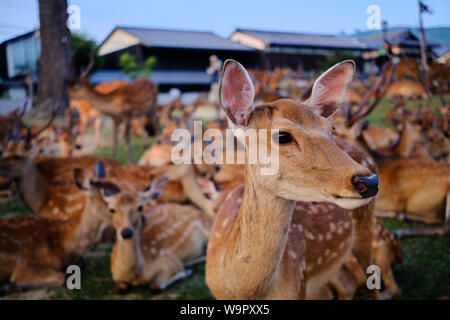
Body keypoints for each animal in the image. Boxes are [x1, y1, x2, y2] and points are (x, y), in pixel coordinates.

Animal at [206, 58, 382, 300]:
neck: (241, 290)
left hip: (366, 223)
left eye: (331, 128)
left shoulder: (298, 286)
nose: (369, 181)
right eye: (282, 135)